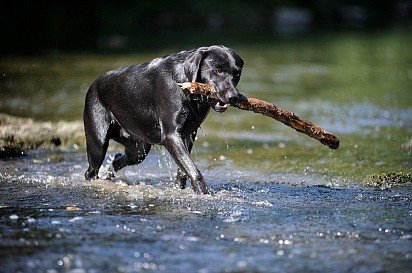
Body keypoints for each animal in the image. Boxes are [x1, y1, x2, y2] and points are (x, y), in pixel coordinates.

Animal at [84, 45, 245, 193]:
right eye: (217, 70)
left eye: (237, 73)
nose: (233, 97)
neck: (184, 84)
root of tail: (94, 84)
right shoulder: (171, 135)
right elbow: (193, 170)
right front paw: (203, 192)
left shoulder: (188, 134)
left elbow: (184, 170)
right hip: (98, 143)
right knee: (91, 171)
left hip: (139, 149)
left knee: (117, 160)